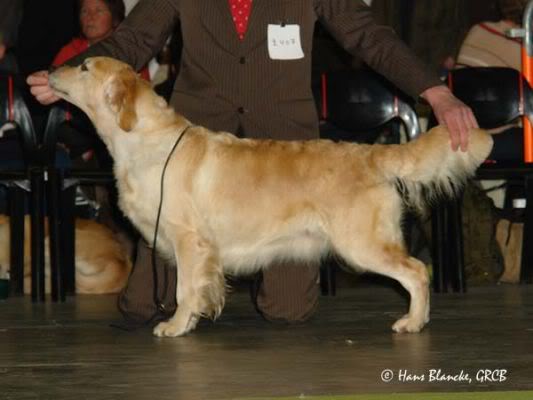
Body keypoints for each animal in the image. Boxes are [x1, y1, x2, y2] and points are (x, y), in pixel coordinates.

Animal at [47, 57, 492, 338]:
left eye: (84, 66)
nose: (49, 71)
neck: (142, 139)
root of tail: (370, 153)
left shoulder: (191, 241)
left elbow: (184, 290)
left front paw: (174, 326)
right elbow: (196, 289)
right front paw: (188, 322)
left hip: (361, 244)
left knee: (417, 271)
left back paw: (413, 322)